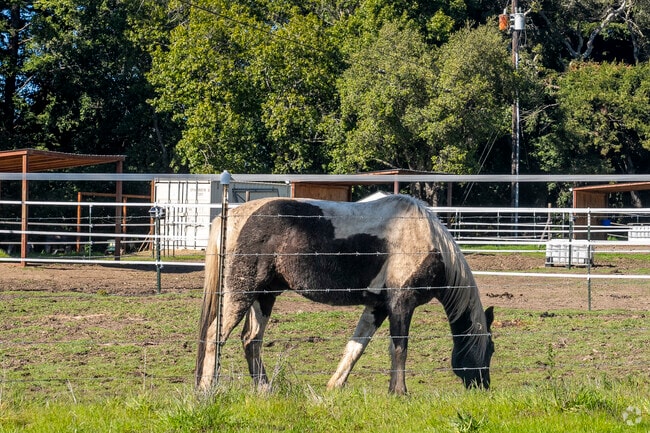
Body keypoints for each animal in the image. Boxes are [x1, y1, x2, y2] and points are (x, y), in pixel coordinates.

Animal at [195, 194, 494, 395]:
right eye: (490, 349)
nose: (483, 387)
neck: (427, 241)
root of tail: (230, 217)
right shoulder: (401, 304)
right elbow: (399, 348)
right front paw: (399, 392)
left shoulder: (378, 307)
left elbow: (356, 346)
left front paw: (334, 386)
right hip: (241, 292)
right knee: (214, 335)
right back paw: (207, 389)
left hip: (264, 296)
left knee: (251, 340)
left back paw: (265, 389)